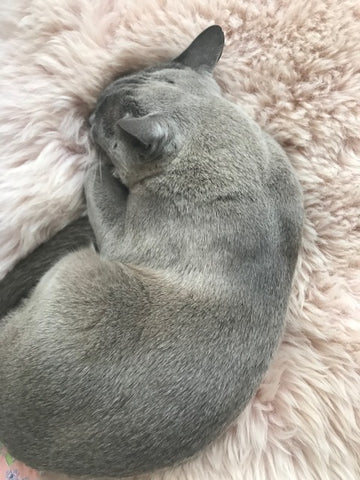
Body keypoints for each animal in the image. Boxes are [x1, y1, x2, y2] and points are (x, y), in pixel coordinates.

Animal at [0, 25, 304, 480]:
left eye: (101, 125)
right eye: (98, 107)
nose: (89, 116)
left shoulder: (120, 238)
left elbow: (99, 192)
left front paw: (98, 169)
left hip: (85, 279)